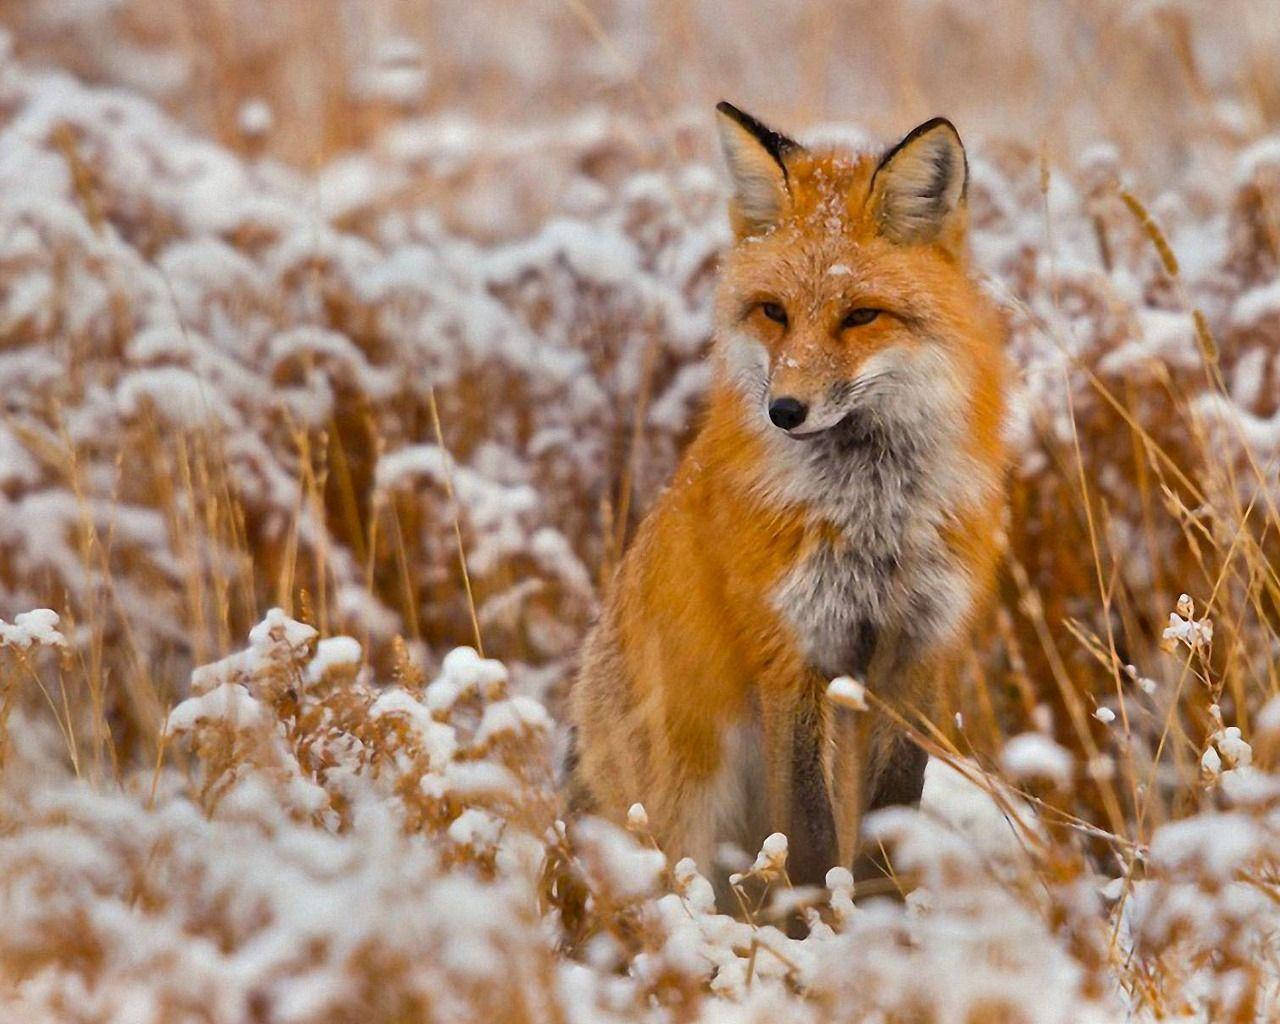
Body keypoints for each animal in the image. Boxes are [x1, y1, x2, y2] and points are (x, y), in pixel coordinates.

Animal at [565, 101, 1003, 885]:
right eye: (774, 312)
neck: (873, 514)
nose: (785, 410)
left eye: (860, 315)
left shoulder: (919, 652)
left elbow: (890, 820)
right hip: (685, 810)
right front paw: (816, 915)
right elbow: (806, 833)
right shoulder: (790, 651)